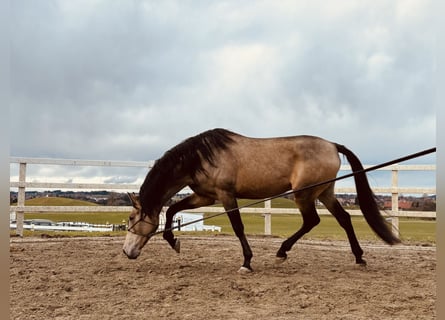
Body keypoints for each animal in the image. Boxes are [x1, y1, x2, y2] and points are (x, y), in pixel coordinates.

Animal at [122, 128, 398, 272]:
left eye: (132, 218)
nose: (127, 252)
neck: (201, 157)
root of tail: (332, 145)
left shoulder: (226, 195)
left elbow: (238, 227)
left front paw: (247, 262)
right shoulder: (206, 196)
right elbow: (172, 210)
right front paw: (174, 241)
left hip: (304, 194)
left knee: (312, 221)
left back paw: (282, 251)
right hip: (324, 193)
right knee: (343, 219)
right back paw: (359, 257)